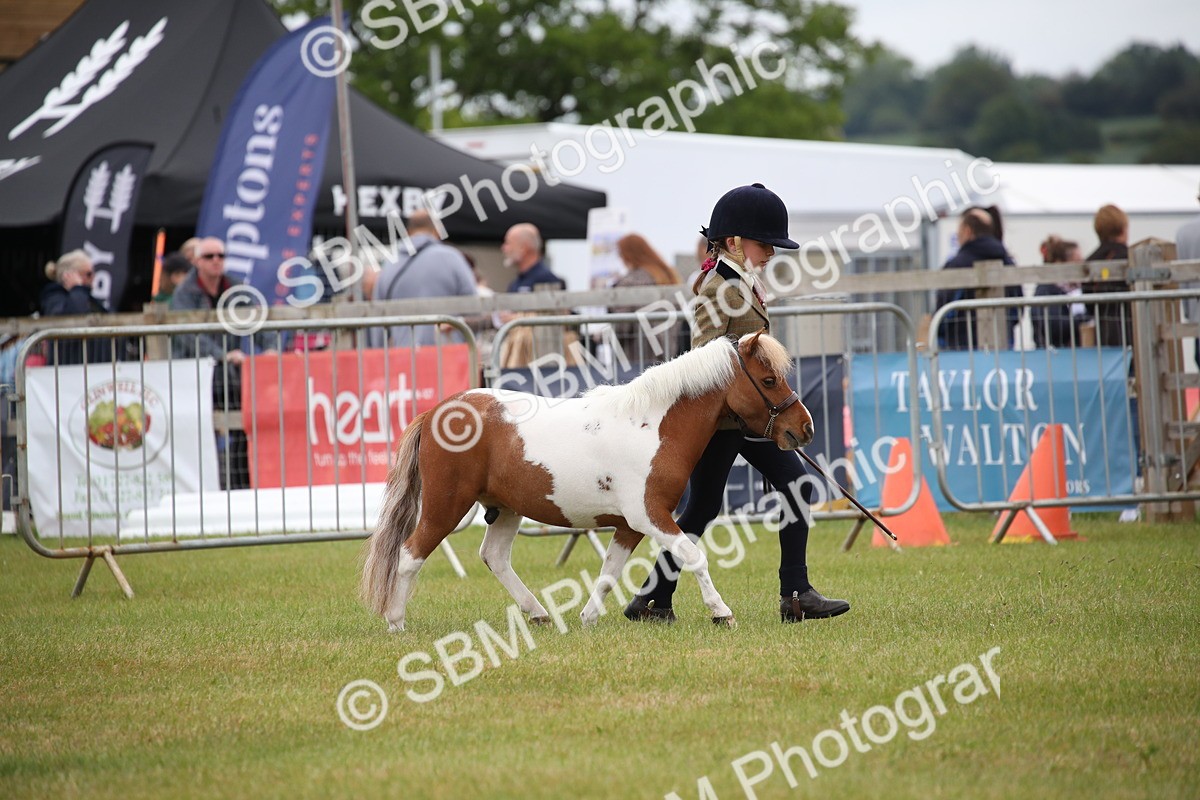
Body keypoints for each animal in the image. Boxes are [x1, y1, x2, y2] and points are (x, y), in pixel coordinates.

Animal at [361, 329, 814, 631]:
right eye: (769, 380)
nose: (804, 428)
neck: (653, 424)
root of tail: (436, 412)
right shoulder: (650, 515)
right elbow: (694, 556)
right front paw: (721, 612)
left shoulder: (630, 526)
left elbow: (610, 572)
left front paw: (588, 618)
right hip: (446, 506)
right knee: (410, 554)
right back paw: (396, 623)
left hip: (504, 508)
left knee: (494, 557)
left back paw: (538, 612)